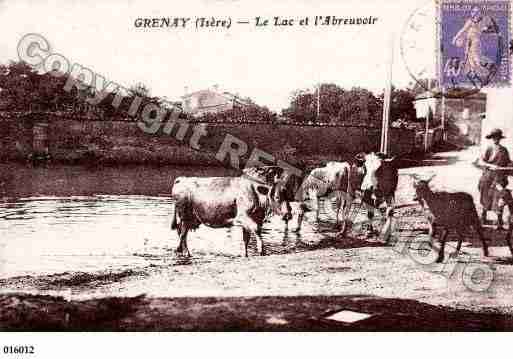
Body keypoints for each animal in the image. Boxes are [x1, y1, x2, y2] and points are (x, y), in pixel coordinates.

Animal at [170, 167, 302, 258]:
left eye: (289, 197)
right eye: (277, 197)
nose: (288, 214)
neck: (255, 193)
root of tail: (182, 179)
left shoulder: (249, 221)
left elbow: (246, 239)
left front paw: (245, 254)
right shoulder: (243, 217)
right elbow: (257, 229)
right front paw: (262, 250)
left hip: (189, 218)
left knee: (182, 233)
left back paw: (183, 251)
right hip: (184, 216)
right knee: (182, 234)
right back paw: (184, 252)